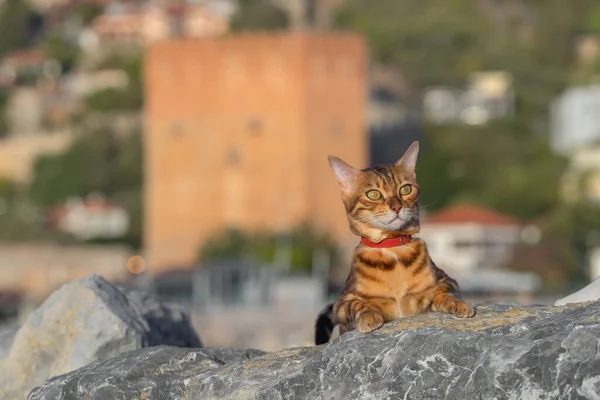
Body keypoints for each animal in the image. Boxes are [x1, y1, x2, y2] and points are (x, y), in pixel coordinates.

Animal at [316, 141, 476, 344]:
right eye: (373, 194)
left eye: (405, 189)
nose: (397, 207)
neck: (392, 249)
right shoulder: (343, 302)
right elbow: (359, 303)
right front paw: (368, 315)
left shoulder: (445, 281)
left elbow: (444, 291)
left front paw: (458, 303)